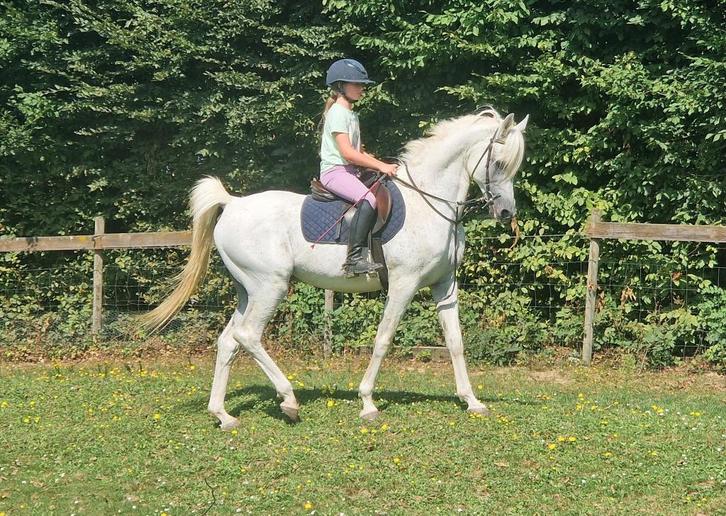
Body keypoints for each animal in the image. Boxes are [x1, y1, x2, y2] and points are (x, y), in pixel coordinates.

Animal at [141, 107, 528, 430]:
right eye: (498, 164)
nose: (506, 213)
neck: (429, 201)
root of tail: (232, 204)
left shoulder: (444, 284)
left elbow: (455, 341)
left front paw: (472, 401)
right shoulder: (404, 284)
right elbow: (383, 339)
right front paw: (368, 403)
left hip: (247, 291)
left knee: (228, 341)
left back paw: (223, 415)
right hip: (270, 286)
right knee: (248, 335)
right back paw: (289, 401)